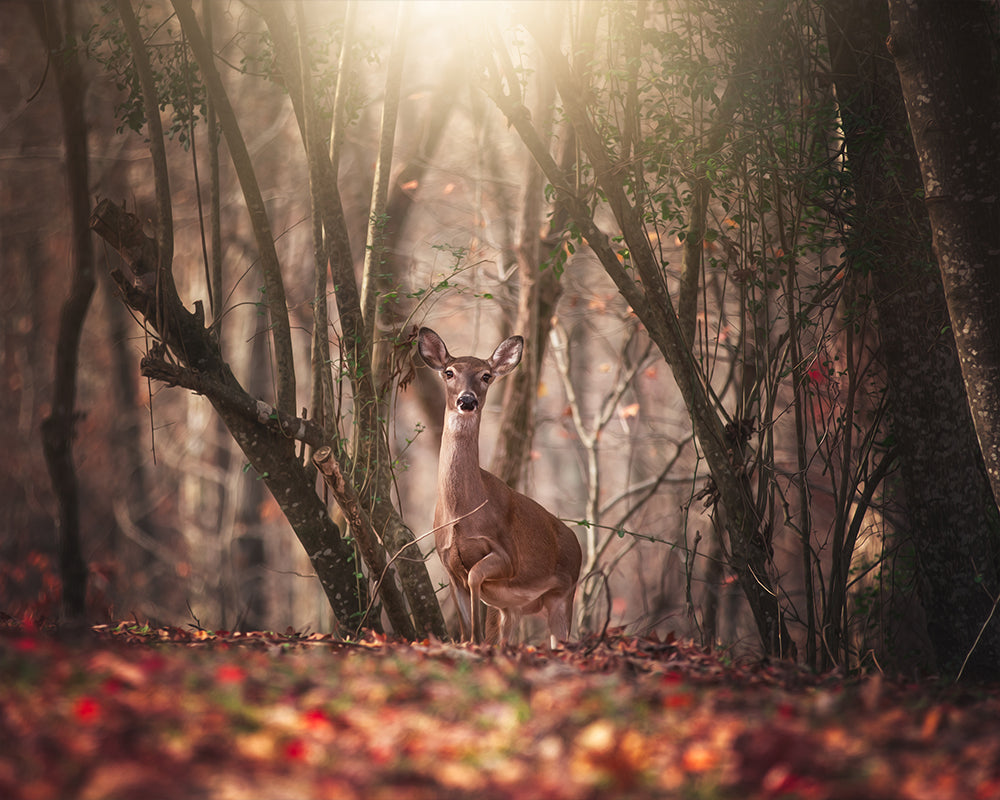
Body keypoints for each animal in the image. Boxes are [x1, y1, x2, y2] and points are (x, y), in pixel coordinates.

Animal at [417, 327, 582, 649]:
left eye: (486, 375)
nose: (467, 400)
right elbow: (463, 608)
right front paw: (468, 641)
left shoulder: (508, 555)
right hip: (514, 609)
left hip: (564, 594)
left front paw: (476, 639)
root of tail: (577, 543)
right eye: (449, 372)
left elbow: (474, 577)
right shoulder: (448, 563)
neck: (462, 513)